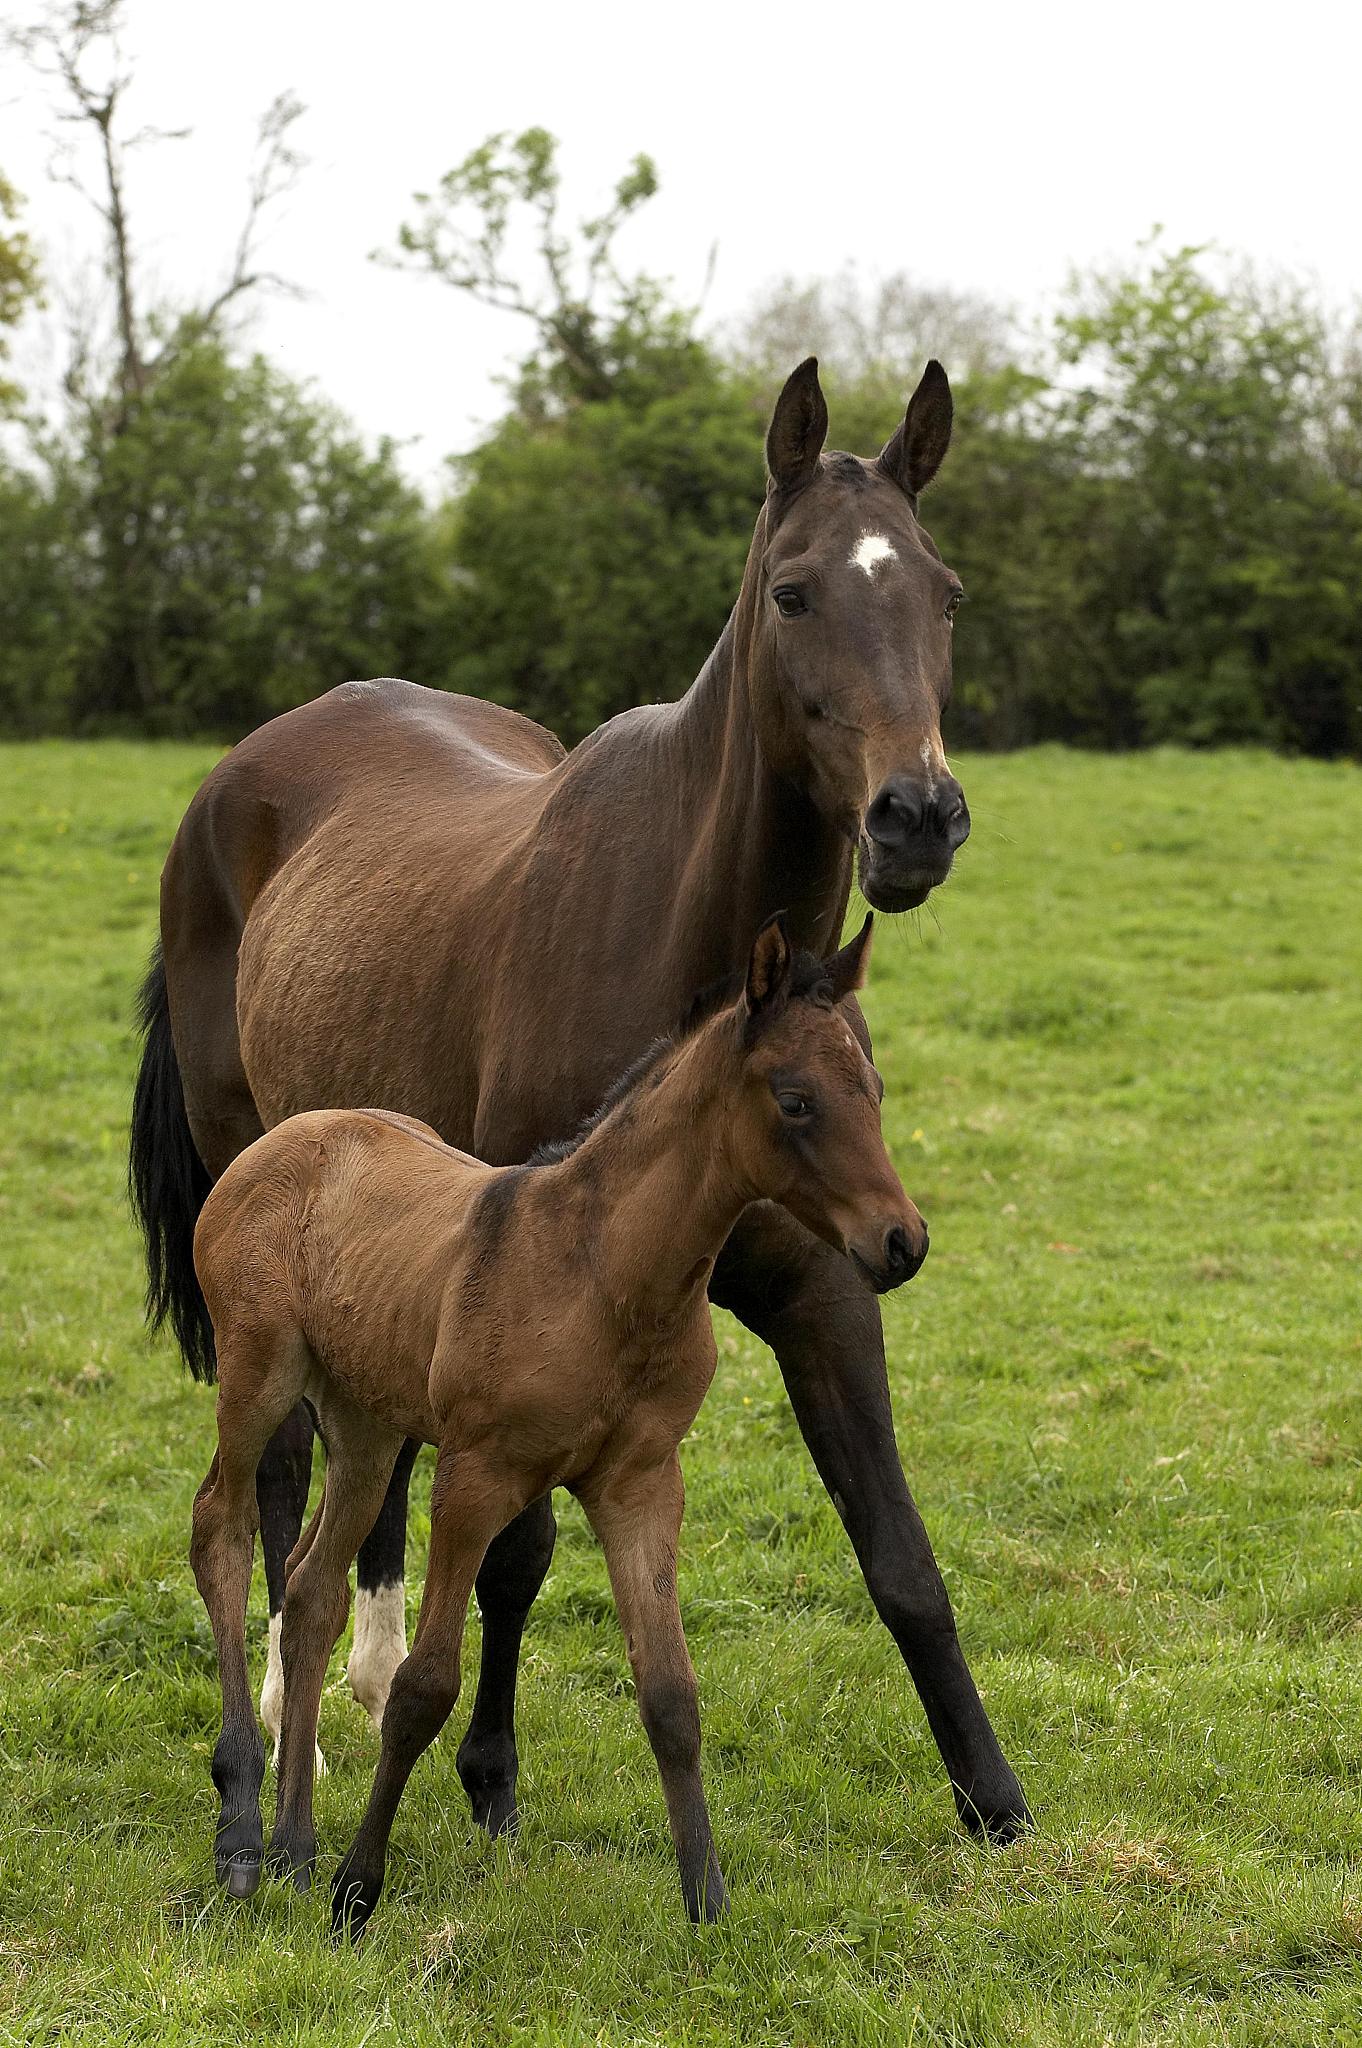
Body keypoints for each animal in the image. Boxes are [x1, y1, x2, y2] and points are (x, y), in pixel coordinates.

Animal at [191, 915, 927, 1935]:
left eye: (877, 1091)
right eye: (797, 1101)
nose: (902, 1242)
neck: (602, 1272)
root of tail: (278, 1141)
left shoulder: (641, 1483)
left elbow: (671, 1694)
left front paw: (707, 1900)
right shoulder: (476, 1477)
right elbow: (424, 1687)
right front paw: (356, 1891)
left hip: (367, 1423)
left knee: (309, 1589)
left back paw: (296, 1847)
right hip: (260, 1373)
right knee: (219, 1527)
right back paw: (244, 1832)